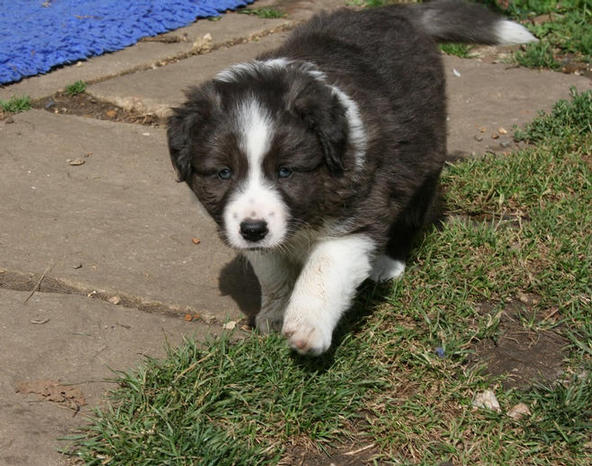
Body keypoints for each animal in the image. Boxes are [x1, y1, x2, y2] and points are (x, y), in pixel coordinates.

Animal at [166, 0, 536, 354]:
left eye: (286, 171)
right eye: (223, 173)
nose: (253, 230)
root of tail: (394, 12)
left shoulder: (359, 211)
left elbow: (323, 268)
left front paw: (306, 327)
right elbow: (273, 272)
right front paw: (274, 314)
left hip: (423, 155)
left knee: (413, 210)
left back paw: (387, 263)